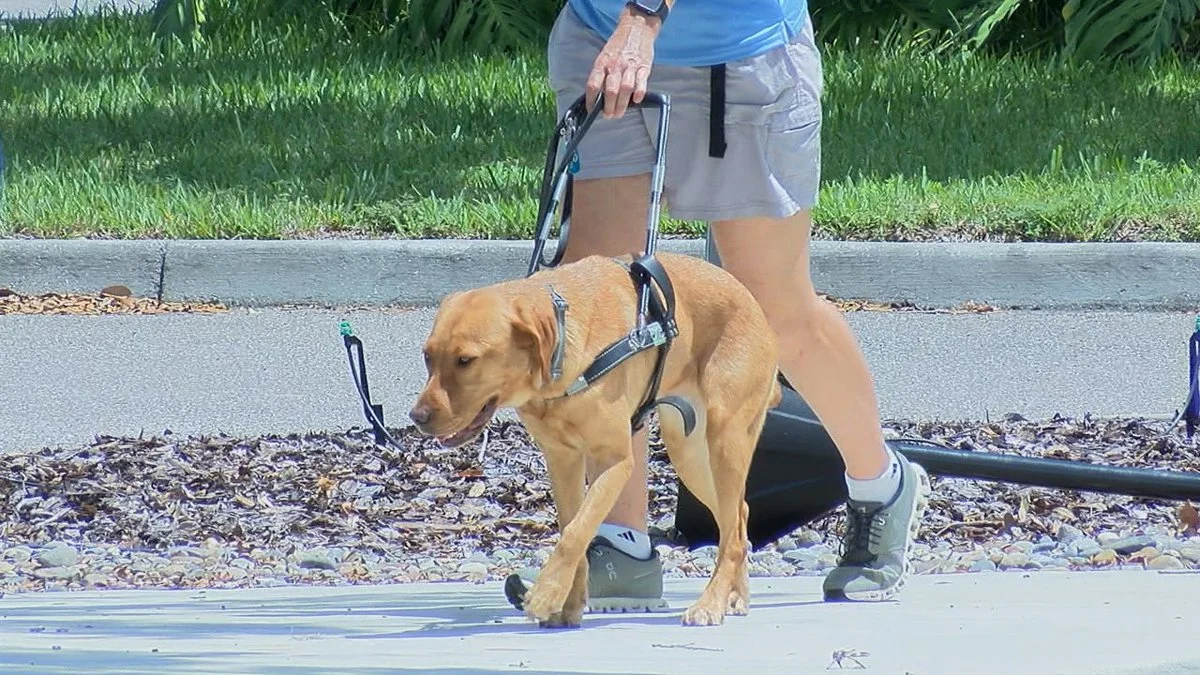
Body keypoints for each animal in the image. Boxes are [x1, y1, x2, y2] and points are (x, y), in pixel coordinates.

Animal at [408, 252, 782, 624]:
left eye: (465, 360)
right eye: (427, 356)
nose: (417, 417)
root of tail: (753, 304)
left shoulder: (613, 461)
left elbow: (576, 532)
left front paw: (545, 594)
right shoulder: (562, 461)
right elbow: (573, 528)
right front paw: (568, 602)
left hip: (724, 440)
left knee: (731, 536)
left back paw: (711, 603)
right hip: (688, 453)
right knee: (738, 518)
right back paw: (736, 596)